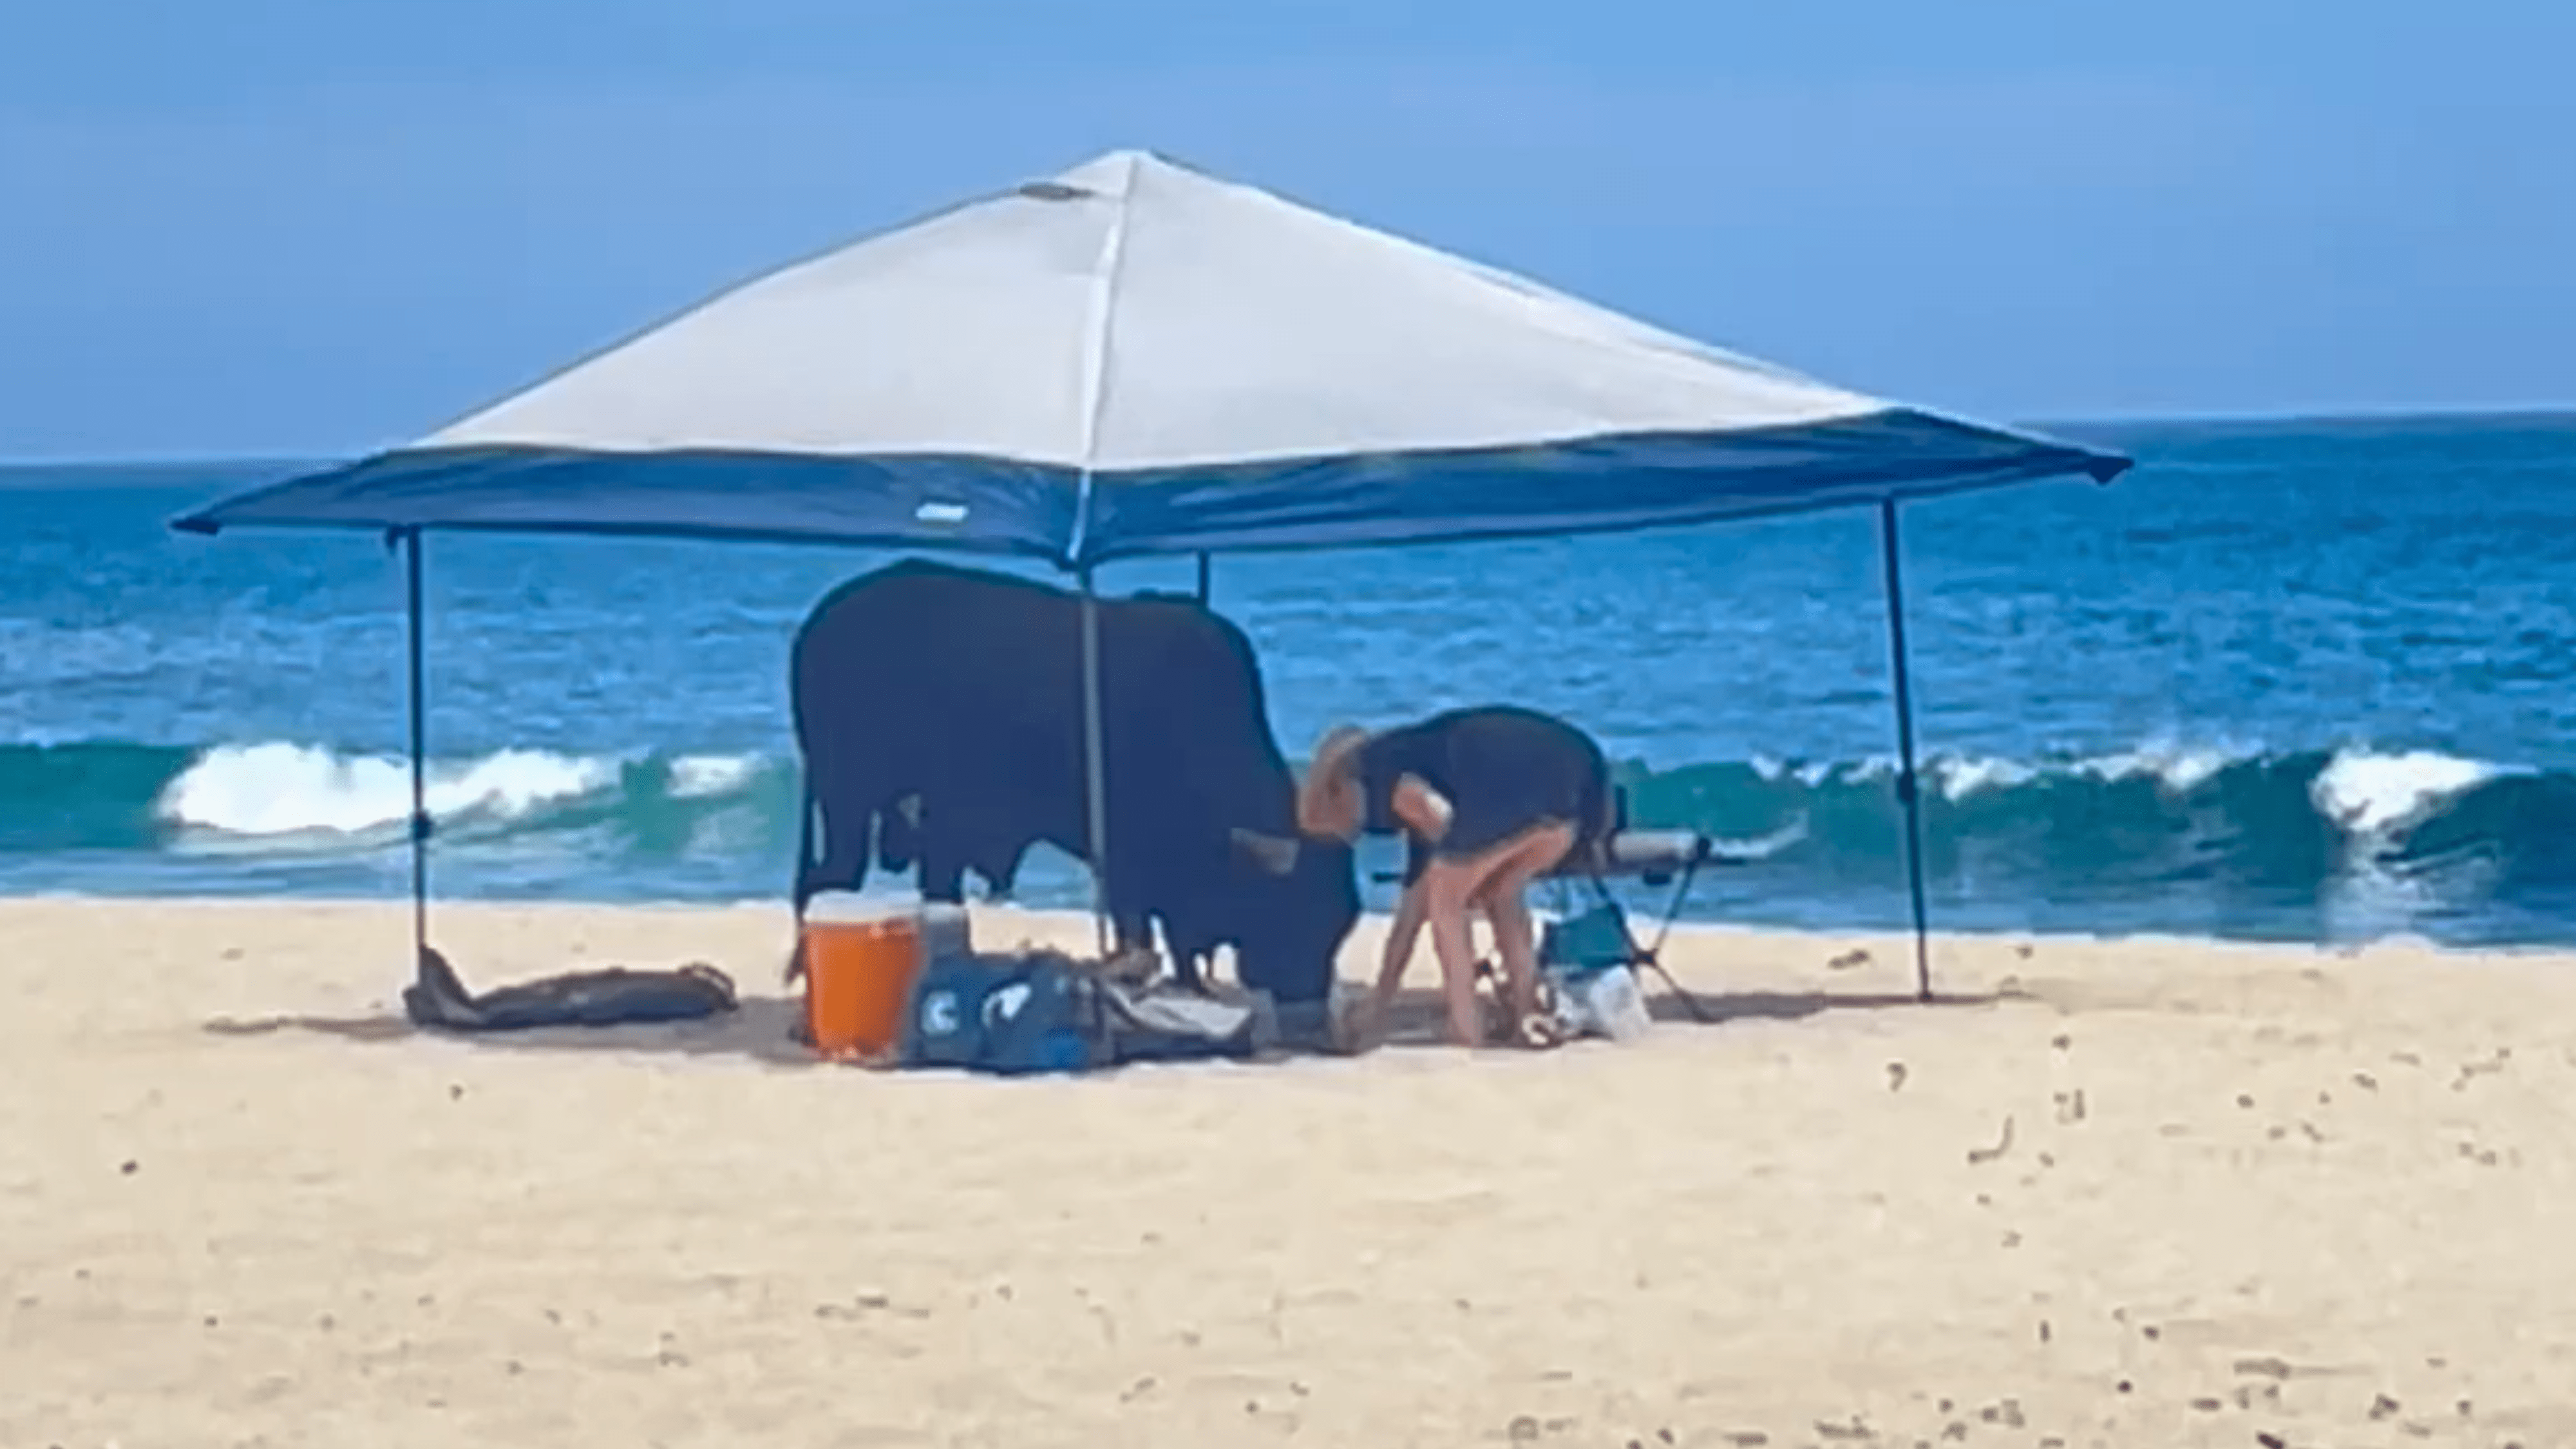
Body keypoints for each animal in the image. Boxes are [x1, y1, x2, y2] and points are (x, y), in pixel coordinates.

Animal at [783, 559, 1360, 1000]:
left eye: (1342, 922)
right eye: (1293, 909)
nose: (1307, 995)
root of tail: (819, 625)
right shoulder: (1130, 863)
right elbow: (1144, 929)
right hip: (848, 799)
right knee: (833, 880)